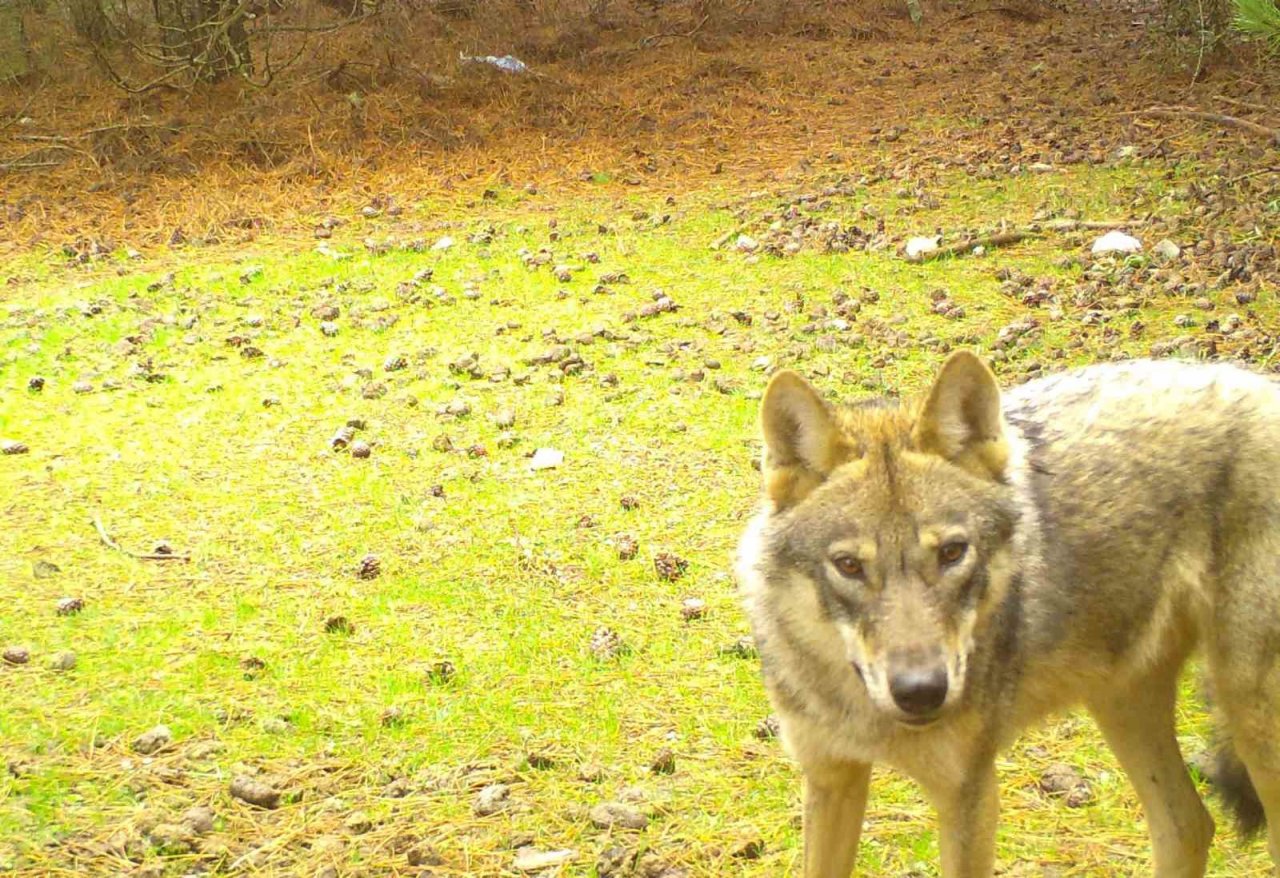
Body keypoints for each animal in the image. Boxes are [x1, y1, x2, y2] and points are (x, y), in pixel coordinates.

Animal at [737, 353, 1280, 878]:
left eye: (952, 553)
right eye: (849, 565)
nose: (921, 691)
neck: (865, 714)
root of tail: (1262, 384)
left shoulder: (968, 794)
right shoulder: (830, 775)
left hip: (1252, 728)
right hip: (1122, 700)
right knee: (1189, 824)